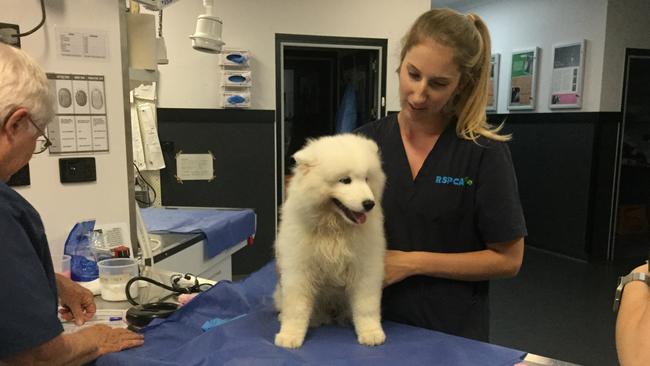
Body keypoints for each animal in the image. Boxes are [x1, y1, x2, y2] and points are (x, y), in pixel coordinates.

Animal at [272, 134, 384, 348]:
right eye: (345, 180)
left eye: (367, 179)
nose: (369, 204)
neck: (334, 229)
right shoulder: (299, 268)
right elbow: (296, 308)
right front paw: (290, 336)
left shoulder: (366, 266)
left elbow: (366, 306)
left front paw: (371, 333)